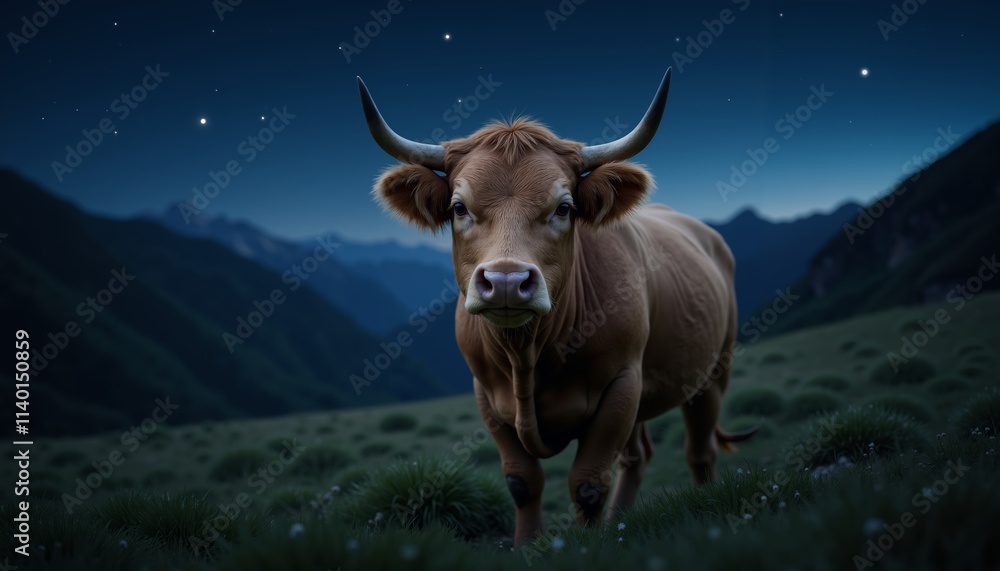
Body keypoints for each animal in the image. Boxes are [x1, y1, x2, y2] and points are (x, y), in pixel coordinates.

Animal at [356, 67, 757, 545]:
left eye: (564, 207)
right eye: (458, 207)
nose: (506, 281)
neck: (528, 356)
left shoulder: (623, 384)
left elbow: (587, 482)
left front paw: (591, 544)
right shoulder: (487, 397)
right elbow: (522, 482)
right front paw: (529, 543)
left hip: (713, 371)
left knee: (699, 450)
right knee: (638, 455)